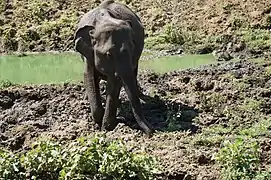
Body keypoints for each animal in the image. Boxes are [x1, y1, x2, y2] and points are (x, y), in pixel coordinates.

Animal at [74, 0, 155, 135]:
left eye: (132, 47)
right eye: (108, 54)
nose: (151, 132)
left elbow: (114, 83)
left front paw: (107, 127)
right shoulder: (89, 54)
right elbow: (89, 77)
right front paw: (102, 120)